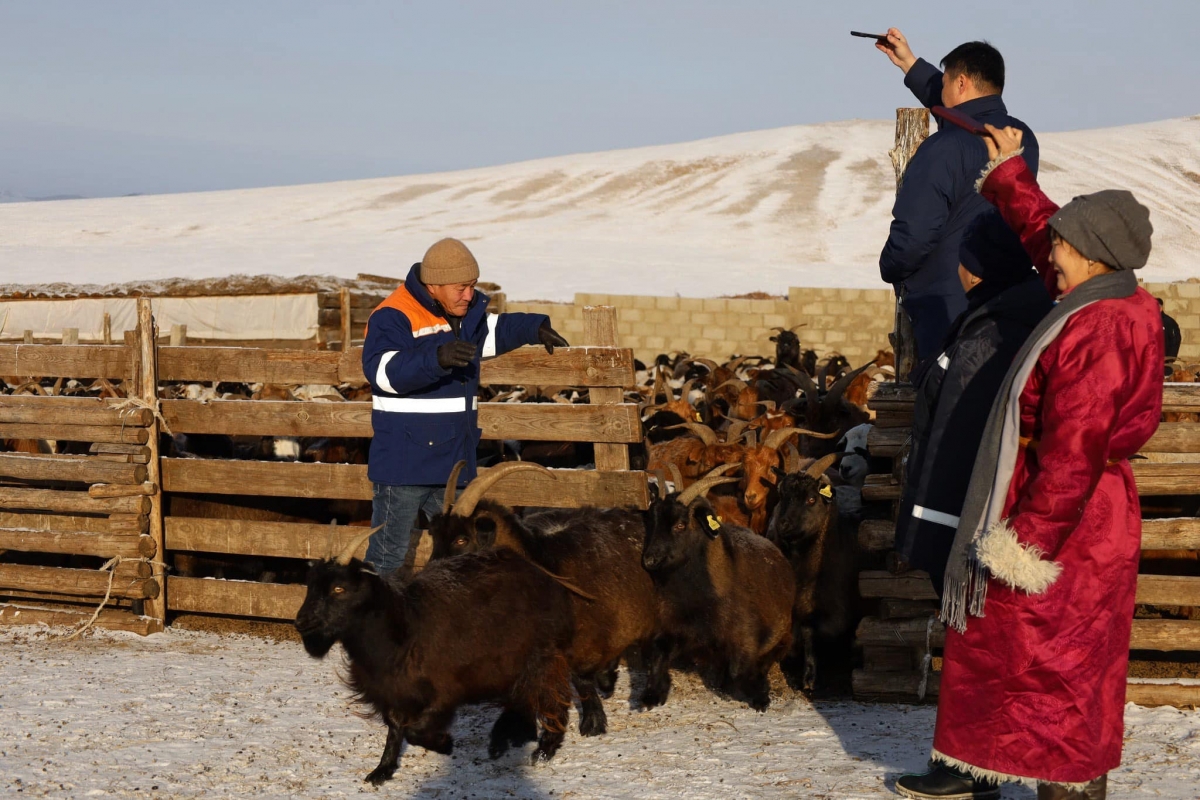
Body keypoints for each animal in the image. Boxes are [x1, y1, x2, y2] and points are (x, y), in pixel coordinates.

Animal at [290, 527, 571, 786]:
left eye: (339, 588)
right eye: (310, 585)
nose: (301, 622)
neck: (405, 625)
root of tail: (541, 574)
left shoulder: (445, 689)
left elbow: (414, 731)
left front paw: (444, 743)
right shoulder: (393, 690)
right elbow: (395, 726)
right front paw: (382, 770)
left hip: (540, 653)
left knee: (552, 695)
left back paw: (544, 750)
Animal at [638, 465, 796, 710]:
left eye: (680, 524)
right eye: (653, 522)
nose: (649, 560)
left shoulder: (746, 636)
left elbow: (739, 671)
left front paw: (760, 696)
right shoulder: (674, 628)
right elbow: (657, 654)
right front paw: (651, 696)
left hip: (785, 633)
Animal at [768, 455, 854, 695]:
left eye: (812, 499)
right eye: (781, 494)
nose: (782, 524)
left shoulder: (837, 618)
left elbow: (809, 632)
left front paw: (809, 679)